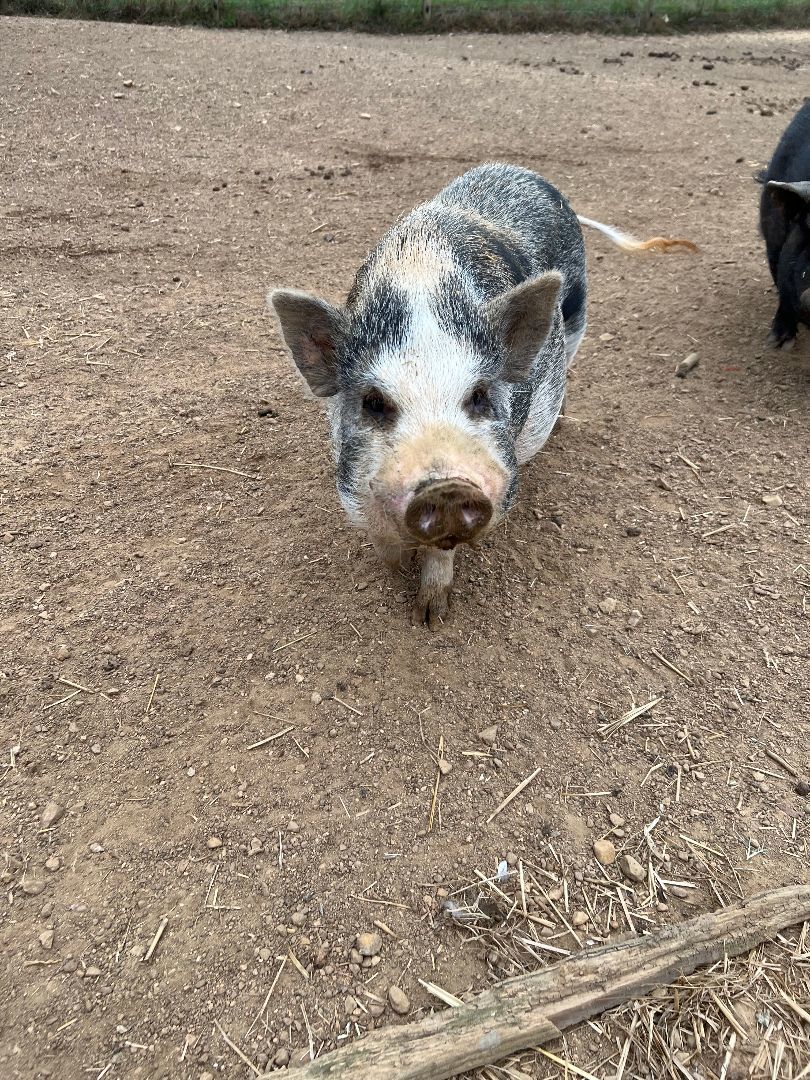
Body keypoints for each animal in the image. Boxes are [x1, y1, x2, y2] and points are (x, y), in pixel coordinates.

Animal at [269, 163, 697, 628]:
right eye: (374, 403)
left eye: (478, 396)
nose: (447, 488)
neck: (420, 282)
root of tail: (529, 175)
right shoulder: (351, 483)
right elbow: (382, 542)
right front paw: (399, 576)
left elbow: (443, 553)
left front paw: (431, 616)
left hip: (577, 315)